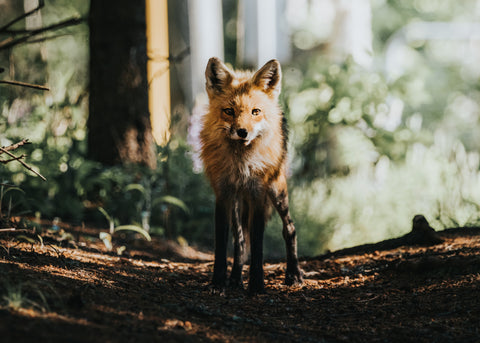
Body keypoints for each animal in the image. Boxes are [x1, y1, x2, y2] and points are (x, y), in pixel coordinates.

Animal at [200, 57, 304, 294]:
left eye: (255, 111)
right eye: (229, 111)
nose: (242, 132)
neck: (241, 165)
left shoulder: (258, 194)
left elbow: (257, 244)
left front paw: (257, 284)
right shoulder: (223, 194)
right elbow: (222, 243)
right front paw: (219, 282)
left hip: (276, 189)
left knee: (290, 228)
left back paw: (293, 273)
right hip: (238, 201)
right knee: (239, 240)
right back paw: (236, 279)